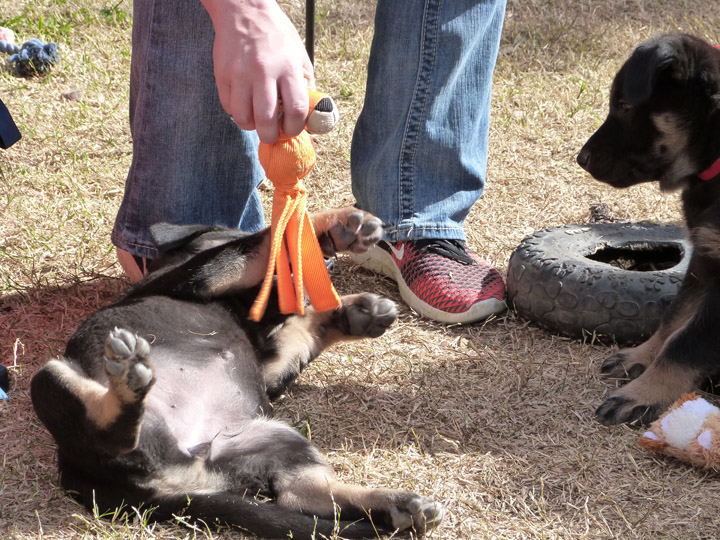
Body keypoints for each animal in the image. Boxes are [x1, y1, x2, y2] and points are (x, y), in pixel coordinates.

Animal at [31, 208, 442, 540]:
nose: (329, 267)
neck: (243, 313)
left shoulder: (267, 362)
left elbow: (299, 330)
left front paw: (355, 313)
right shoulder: (197, 278)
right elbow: (256, 248)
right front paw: (333, 227)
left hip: (276, 440)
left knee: (300, 493)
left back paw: (398, 506)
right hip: (48, 378)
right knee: (110, 432)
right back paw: (126, 384)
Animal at [576, 34, 720, 426]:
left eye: (625, 106)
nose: (581, 159)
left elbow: (687, 342)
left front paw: (644, 394)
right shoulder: (704, 258)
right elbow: (674, 319)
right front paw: (641, 357)